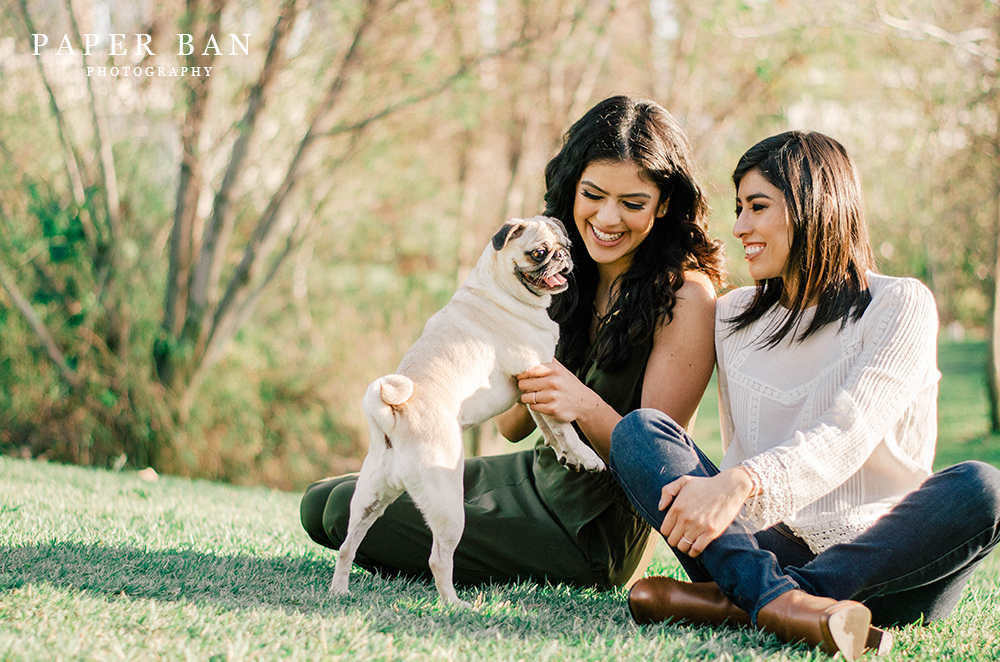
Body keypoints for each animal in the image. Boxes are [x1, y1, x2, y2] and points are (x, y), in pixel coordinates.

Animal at [332, 214, 604, 608]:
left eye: (566, 245)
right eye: (539, 253)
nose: (563, 257)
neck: (498, 290)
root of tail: (394, 420)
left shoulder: (533, 388)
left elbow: (551, 428)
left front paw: (569, 456)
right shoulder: (536, 371)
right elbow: (565, 426)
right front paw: (587, 456)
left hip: (370, 497)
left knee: (347, 545)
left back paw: (339, 590)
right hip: (448, 506)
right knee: (438, 558)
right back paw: (454, 604)